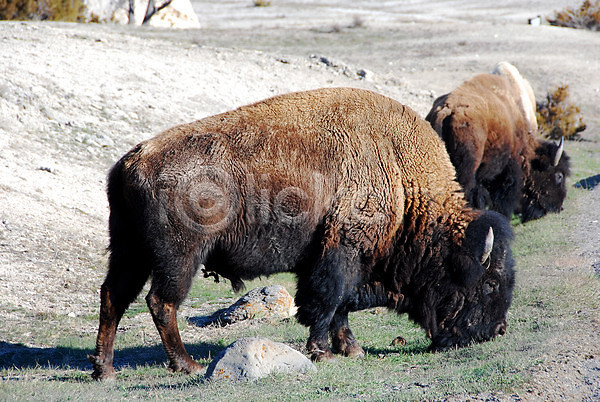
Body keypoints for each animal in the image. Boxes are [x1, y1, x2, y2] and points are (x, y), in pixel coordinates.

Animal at [89, 87, 516, 380]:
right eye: (490, 283)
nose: (496, 331)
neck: (399, 175)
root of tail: (133, 160)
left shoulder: (334, 257)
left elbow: (339, 305)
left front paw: (351, 349)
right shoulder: (342, 252)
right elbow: (328, 301)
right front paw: (323, 352)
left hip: (130, 251)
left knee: (113, 297)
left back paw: (104, 370)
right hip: (179, 256)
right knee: (161, 302)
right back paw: (187, 365)